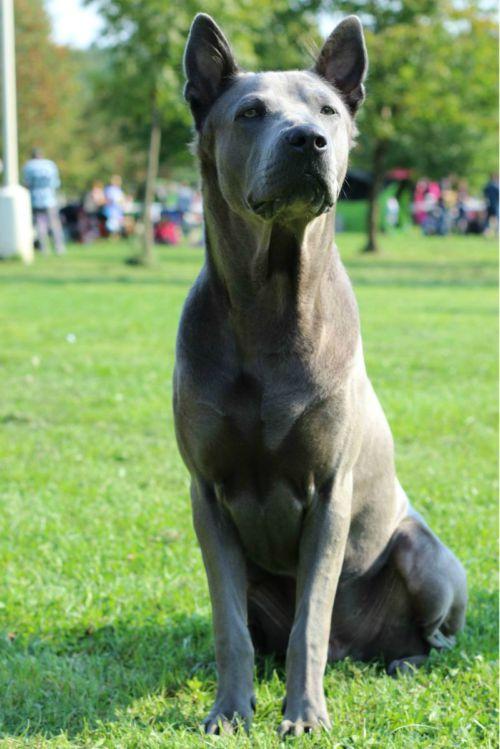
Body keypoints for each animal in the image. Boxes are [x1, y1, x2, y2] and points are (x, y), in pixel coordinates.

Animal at [173, 13, 467, 736]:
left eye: (328, 110)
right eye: (250, 112)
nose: (309, 139)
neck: (271, 305)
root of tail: (356, 649)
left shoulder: (331, 490)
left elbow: (312, 614)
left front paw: (305, 714)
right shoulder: (206, 493)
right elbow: (228, 623)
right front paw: (229, 709)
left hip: (426, 556)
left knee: (431, 638)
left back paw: (402, 661)